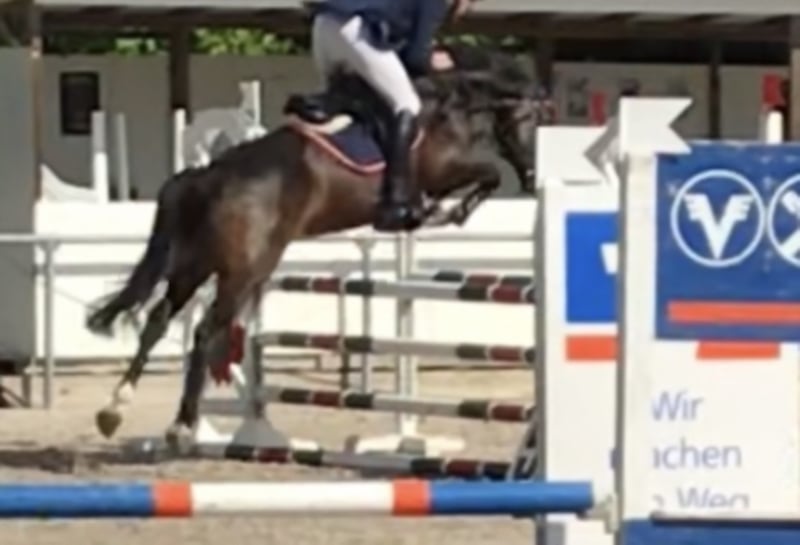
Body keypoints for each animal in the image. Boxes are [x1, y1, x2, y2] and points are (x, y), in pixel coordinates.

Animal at [86, 47, 551, 448]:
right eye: (536, 122)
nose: (533, 178)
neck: (448, 104)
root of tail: (208, 174)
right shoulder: (442, 170)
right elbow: (488, 174)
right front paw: (442, 213)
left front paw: (436, 213)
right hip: (245, 269)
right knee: (204, 330)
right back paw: (181, 426)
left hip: (195, 263)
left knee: (158, 318)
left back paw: (114, 410)